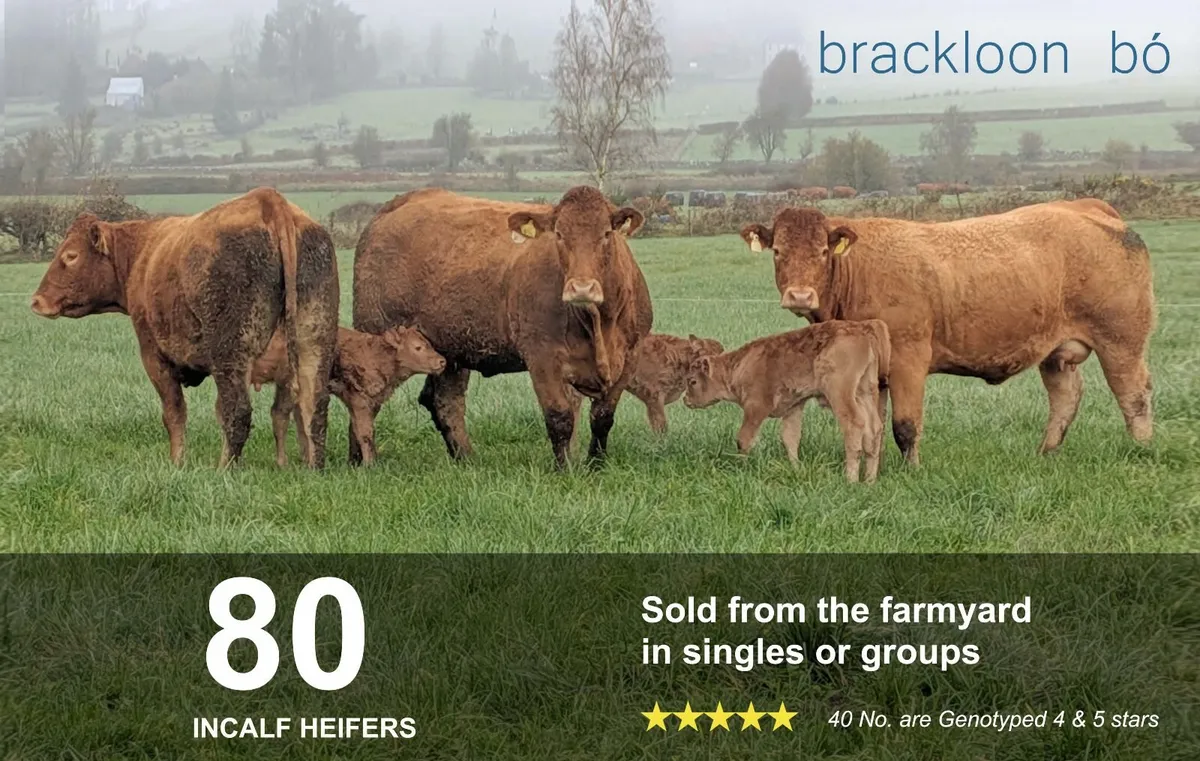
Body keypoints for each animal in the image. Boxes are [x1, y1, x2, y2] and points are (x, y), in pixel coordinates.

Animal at [29, 187, 339, 468]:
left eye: (70, 256)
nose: (37, 301)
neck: (142, 254)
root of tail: (269, 200)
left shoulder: (155, 357)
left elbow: (174, 413)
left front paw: (177, 462)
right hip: (313, 345)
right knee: (314, 406)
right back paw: (313, 467)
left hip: (232, 355)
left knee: (238, 411)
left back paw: (223, 469)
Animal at [251, 325, 446, 467]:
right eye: (417, 347)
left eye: (429, 344)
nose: (442, 361)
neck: (377, 354)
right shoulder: (360, 400)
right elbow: (366, 433)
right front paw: (370, 465)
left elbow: (359, 430)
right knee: (281, 415)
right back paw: (284, 463)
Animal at [351, 186, 654, 468]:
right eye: (558, 234)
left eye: (606, 234)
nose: (581, 287)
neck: (597, 323)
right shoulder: (542, 358)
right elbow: (560, 418)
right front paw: (564, 469)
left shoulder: (630, 357)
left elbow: (603, 417)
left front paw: (596, 465)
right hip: (374, 337)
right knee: (364, 402)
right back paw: (358, 462)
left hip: (449, 351)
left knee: (446, 402)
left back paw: (466, 459)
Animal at [683, 320, 891, 483]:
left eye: (692, 381)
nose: (685, 399)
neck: (739, 365)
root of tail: (862, 328)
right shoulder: (794, 406)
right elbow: (790, 438)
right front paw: (797, 468)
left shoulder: (756, 407)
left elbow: (744, 438)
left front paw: (740, 466)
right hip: (865, 391)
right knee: (874, 428)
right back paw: (869, 480)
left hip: (840, 393)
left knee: (854, 424)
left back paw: (851, 479)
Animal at [739, 199, 1155, 465]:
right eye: (777, 251)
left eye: (823, 253)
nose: (799, 295)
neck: (857, 270)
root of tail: (1088, 207)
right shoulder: (875, 373)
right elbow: (874, 426)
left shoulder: (908, 360)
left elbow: (905, 426)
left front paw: (912, 471)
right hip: (1057, 354)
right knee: (1066, 397)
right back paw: (1045, 453)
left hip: (1122, 342)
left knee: (1134, 395)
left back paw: (1142, 450)